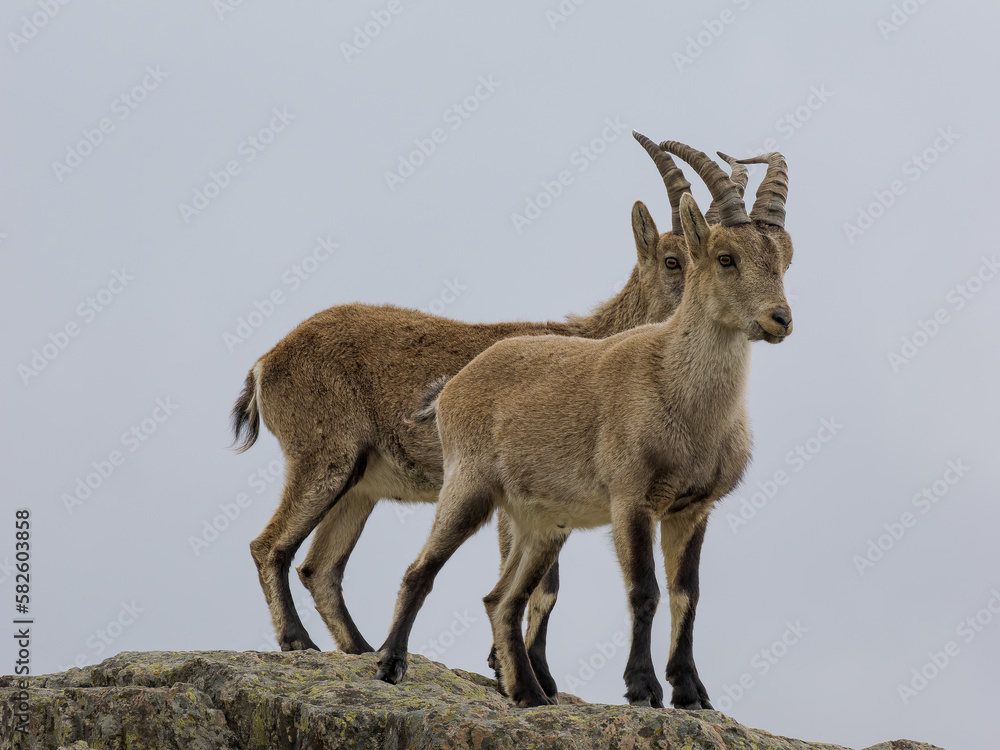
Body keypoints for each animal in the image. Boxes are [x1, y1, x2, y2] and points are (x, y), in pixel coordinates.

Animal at [230, 131, 701, 701]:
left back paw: (364, 651)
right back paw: (301, 643)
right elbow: (541, 586)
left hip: (360, 486)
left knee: (319, 567)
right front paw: (524, 675)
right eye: (673, 261)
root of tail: (266, 362)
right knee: (269, 546)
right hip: (324, 457)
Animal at [374, 139, 793, 709]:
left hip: (542, 522)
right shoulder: (631, 500)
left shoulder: (693, 509)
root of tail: (454, 384)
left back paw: (530, 693)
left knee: (502, 598)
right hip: (469, 487)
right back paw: (390, 664)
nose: (781, 320)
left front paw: (691, 691)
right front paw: (642, 687)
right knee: (422, 571)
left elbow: (687, 594)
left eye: (786, 258)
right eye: (725, 257)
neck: (684, 401)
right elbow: (644, 591)